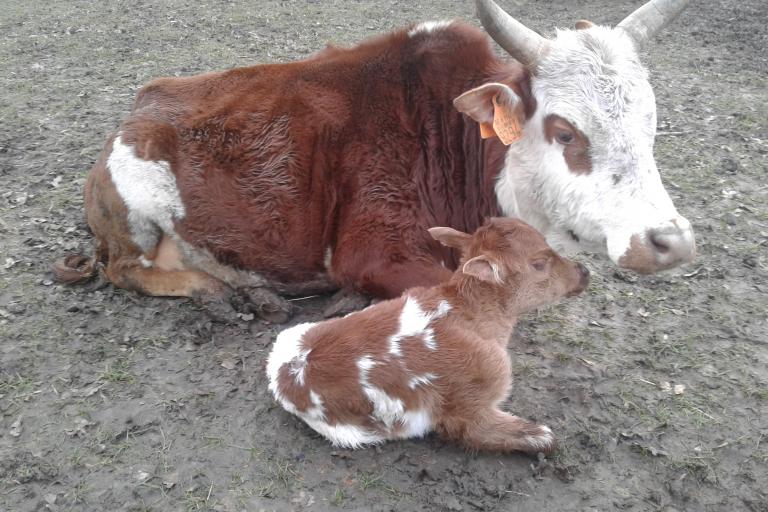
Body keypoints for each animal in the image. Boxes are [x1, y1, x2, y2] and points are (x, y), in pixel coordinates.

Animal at [55, 0, 696, 320]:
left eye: (650, 122)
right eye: (564, 132)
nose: (671, 241)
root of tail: (140, 106)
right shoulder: (375, 251)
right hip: (135, 213)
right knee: (125, 271)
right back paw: (217, 294)